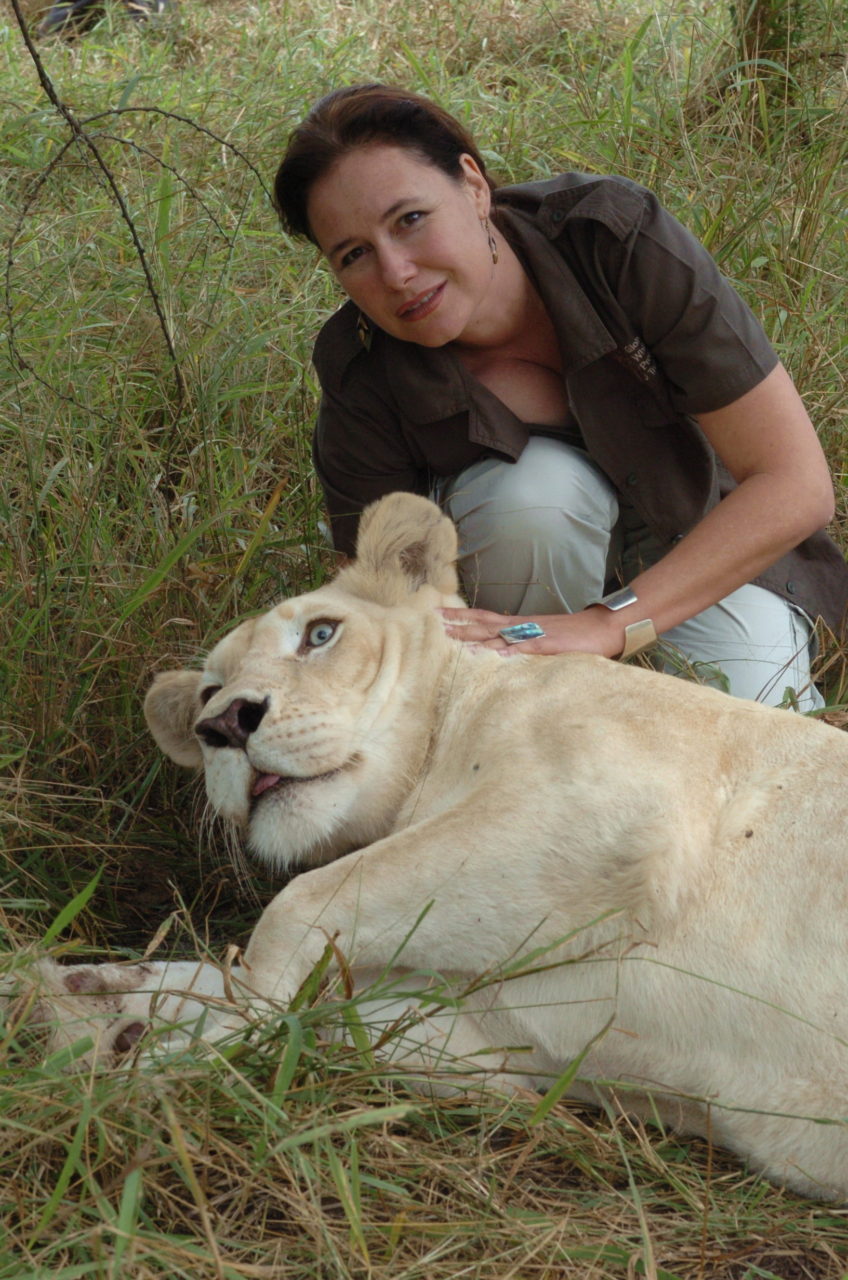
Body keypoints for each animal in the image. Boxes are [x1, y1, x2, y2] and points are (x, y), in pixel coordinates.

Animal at [9, 494, 848, 1203]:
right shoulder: (479, 1036)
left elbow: (296, 911)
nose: (224, 726)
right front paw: (100, 1002)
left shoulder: (610, 804)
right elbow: (321, 1010)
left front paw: (190, 1037)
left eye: (319, 634)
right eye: (208, 694)